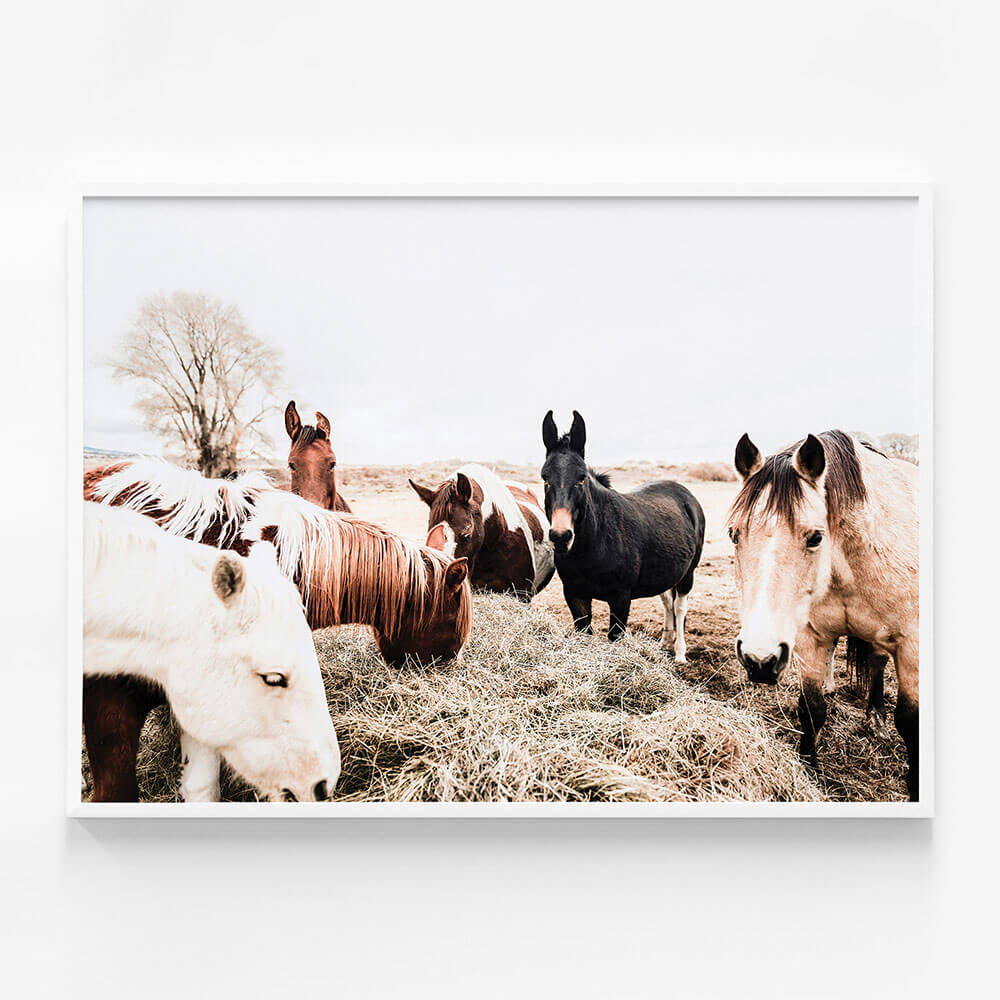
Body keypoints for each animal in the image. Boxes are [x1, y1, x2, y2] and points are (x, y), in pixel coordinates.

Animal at [540, 411, 705, 660]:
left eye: (581, 478)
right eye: (544, 478)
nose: (561, 536)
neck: (595, 543)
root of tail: (686, 495)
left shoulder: (621, 598)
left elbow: (615, 636)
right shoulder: (574, 594)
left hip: (689, 573)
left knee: (680, 606)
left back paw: (679, 654)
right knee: (667, 602)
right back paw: (665, 643)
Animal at [728, 429, 920, 799]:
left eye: (816, 536)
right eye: (734, 534)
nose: (759, 659)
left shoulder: (911, 645)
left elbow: (910, 723)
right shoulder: (809, 637)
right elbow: (811, 708)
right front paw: (810, 770)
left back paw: (876, 719)